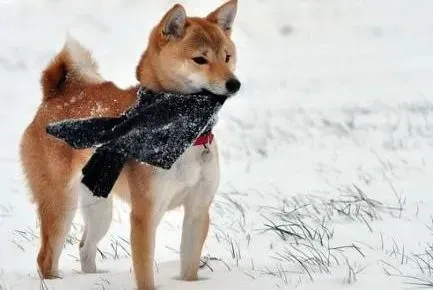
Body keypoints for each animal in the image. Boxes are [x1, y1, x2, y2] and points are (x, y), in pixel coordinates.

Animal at [19, 1, 240, 288]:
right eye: (200, 60)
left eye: (227, 57)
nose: (234, 84)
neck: (184, 135)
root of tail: (55, 97)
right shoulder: (145, 215)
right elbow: (145, 271)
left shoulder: (197, 211)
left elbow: (190, 267)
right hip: (60, 205)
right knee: (46, 257)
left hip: (99, 207)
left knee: (84, 248)